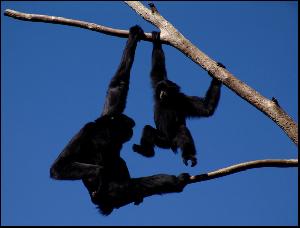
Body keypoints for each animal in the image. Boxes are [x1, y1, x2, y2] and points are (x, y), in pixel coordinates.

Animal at [49, 25, 190, 216]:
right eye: (128, 124)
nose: (133, 125)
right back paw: (175, 182)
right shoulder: (88, 129)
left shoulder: (107, 115)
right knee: (135, 184)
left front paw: (133, 36)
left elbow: (117, 85)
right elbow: (58, 167)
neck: (105, 135)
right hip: (113, 192)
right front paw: (98, 172)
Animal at [132, 31, 224, 167]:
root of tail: (171, 145)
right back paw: (147, 151)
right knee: (148, 129)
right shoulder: (158, 84)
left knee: (181, 130)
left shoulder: (183, 100)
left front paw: (216, 78)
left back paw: (188, 155)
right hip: (162, 140)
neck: (168, 101)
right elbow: (157, 69)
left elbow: (207, 108)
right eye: (161, 89)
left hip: (171, 140)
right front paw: (156, 41)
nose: (162, 93)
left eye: (167, 89)